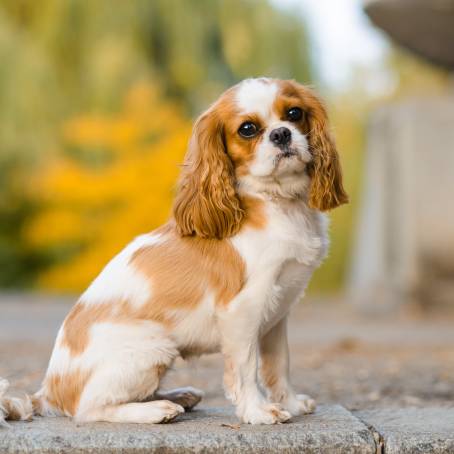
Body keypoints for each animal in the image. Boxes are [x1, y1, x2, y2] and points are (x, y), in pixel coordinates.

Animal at [0, 78, 348, 426]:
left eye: (294, 113)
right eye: (247, 129)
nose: (281, 134)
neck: (277, 202)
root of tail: (48, 392)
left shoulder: (276, 314)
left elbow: (279, 364)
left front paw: (290, 403)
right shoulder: (243, 310)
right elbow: (246, 368)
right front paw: (258, 411)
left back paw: (179, 395)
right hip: (152, 349)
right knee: (90, 409)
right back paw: (157, 410)